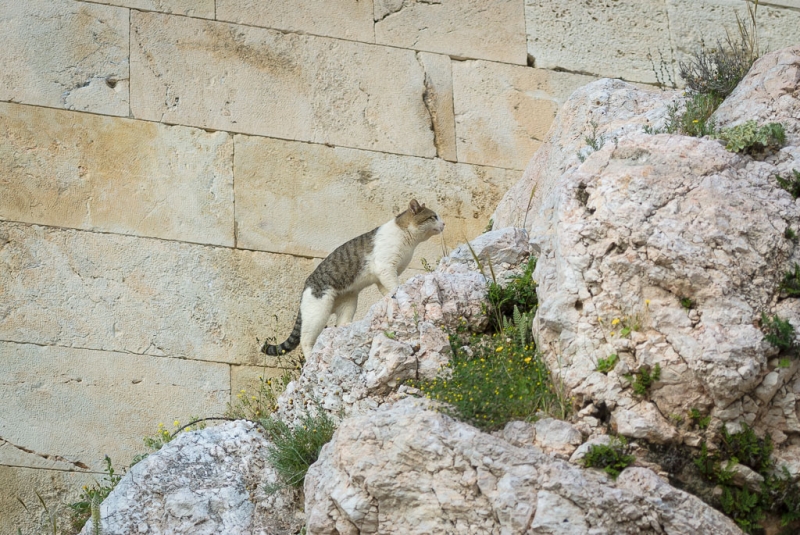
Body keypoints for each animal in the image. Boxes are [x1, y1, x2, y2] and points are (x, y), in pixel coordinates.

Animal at [260, 199, 444, 358]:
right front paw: (396, 293)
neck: (407, 239)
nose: (444, 224)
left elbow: (386, 290)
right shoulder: (386, 268)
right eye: (433, 217)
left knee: (340, 323)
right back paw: (311, 356)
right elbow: (394, 285)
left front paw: (388, 297)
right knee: (305, 339)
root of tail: (306, 285)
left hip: (348, 303)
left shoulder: (382, 276)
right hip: (318, 312)